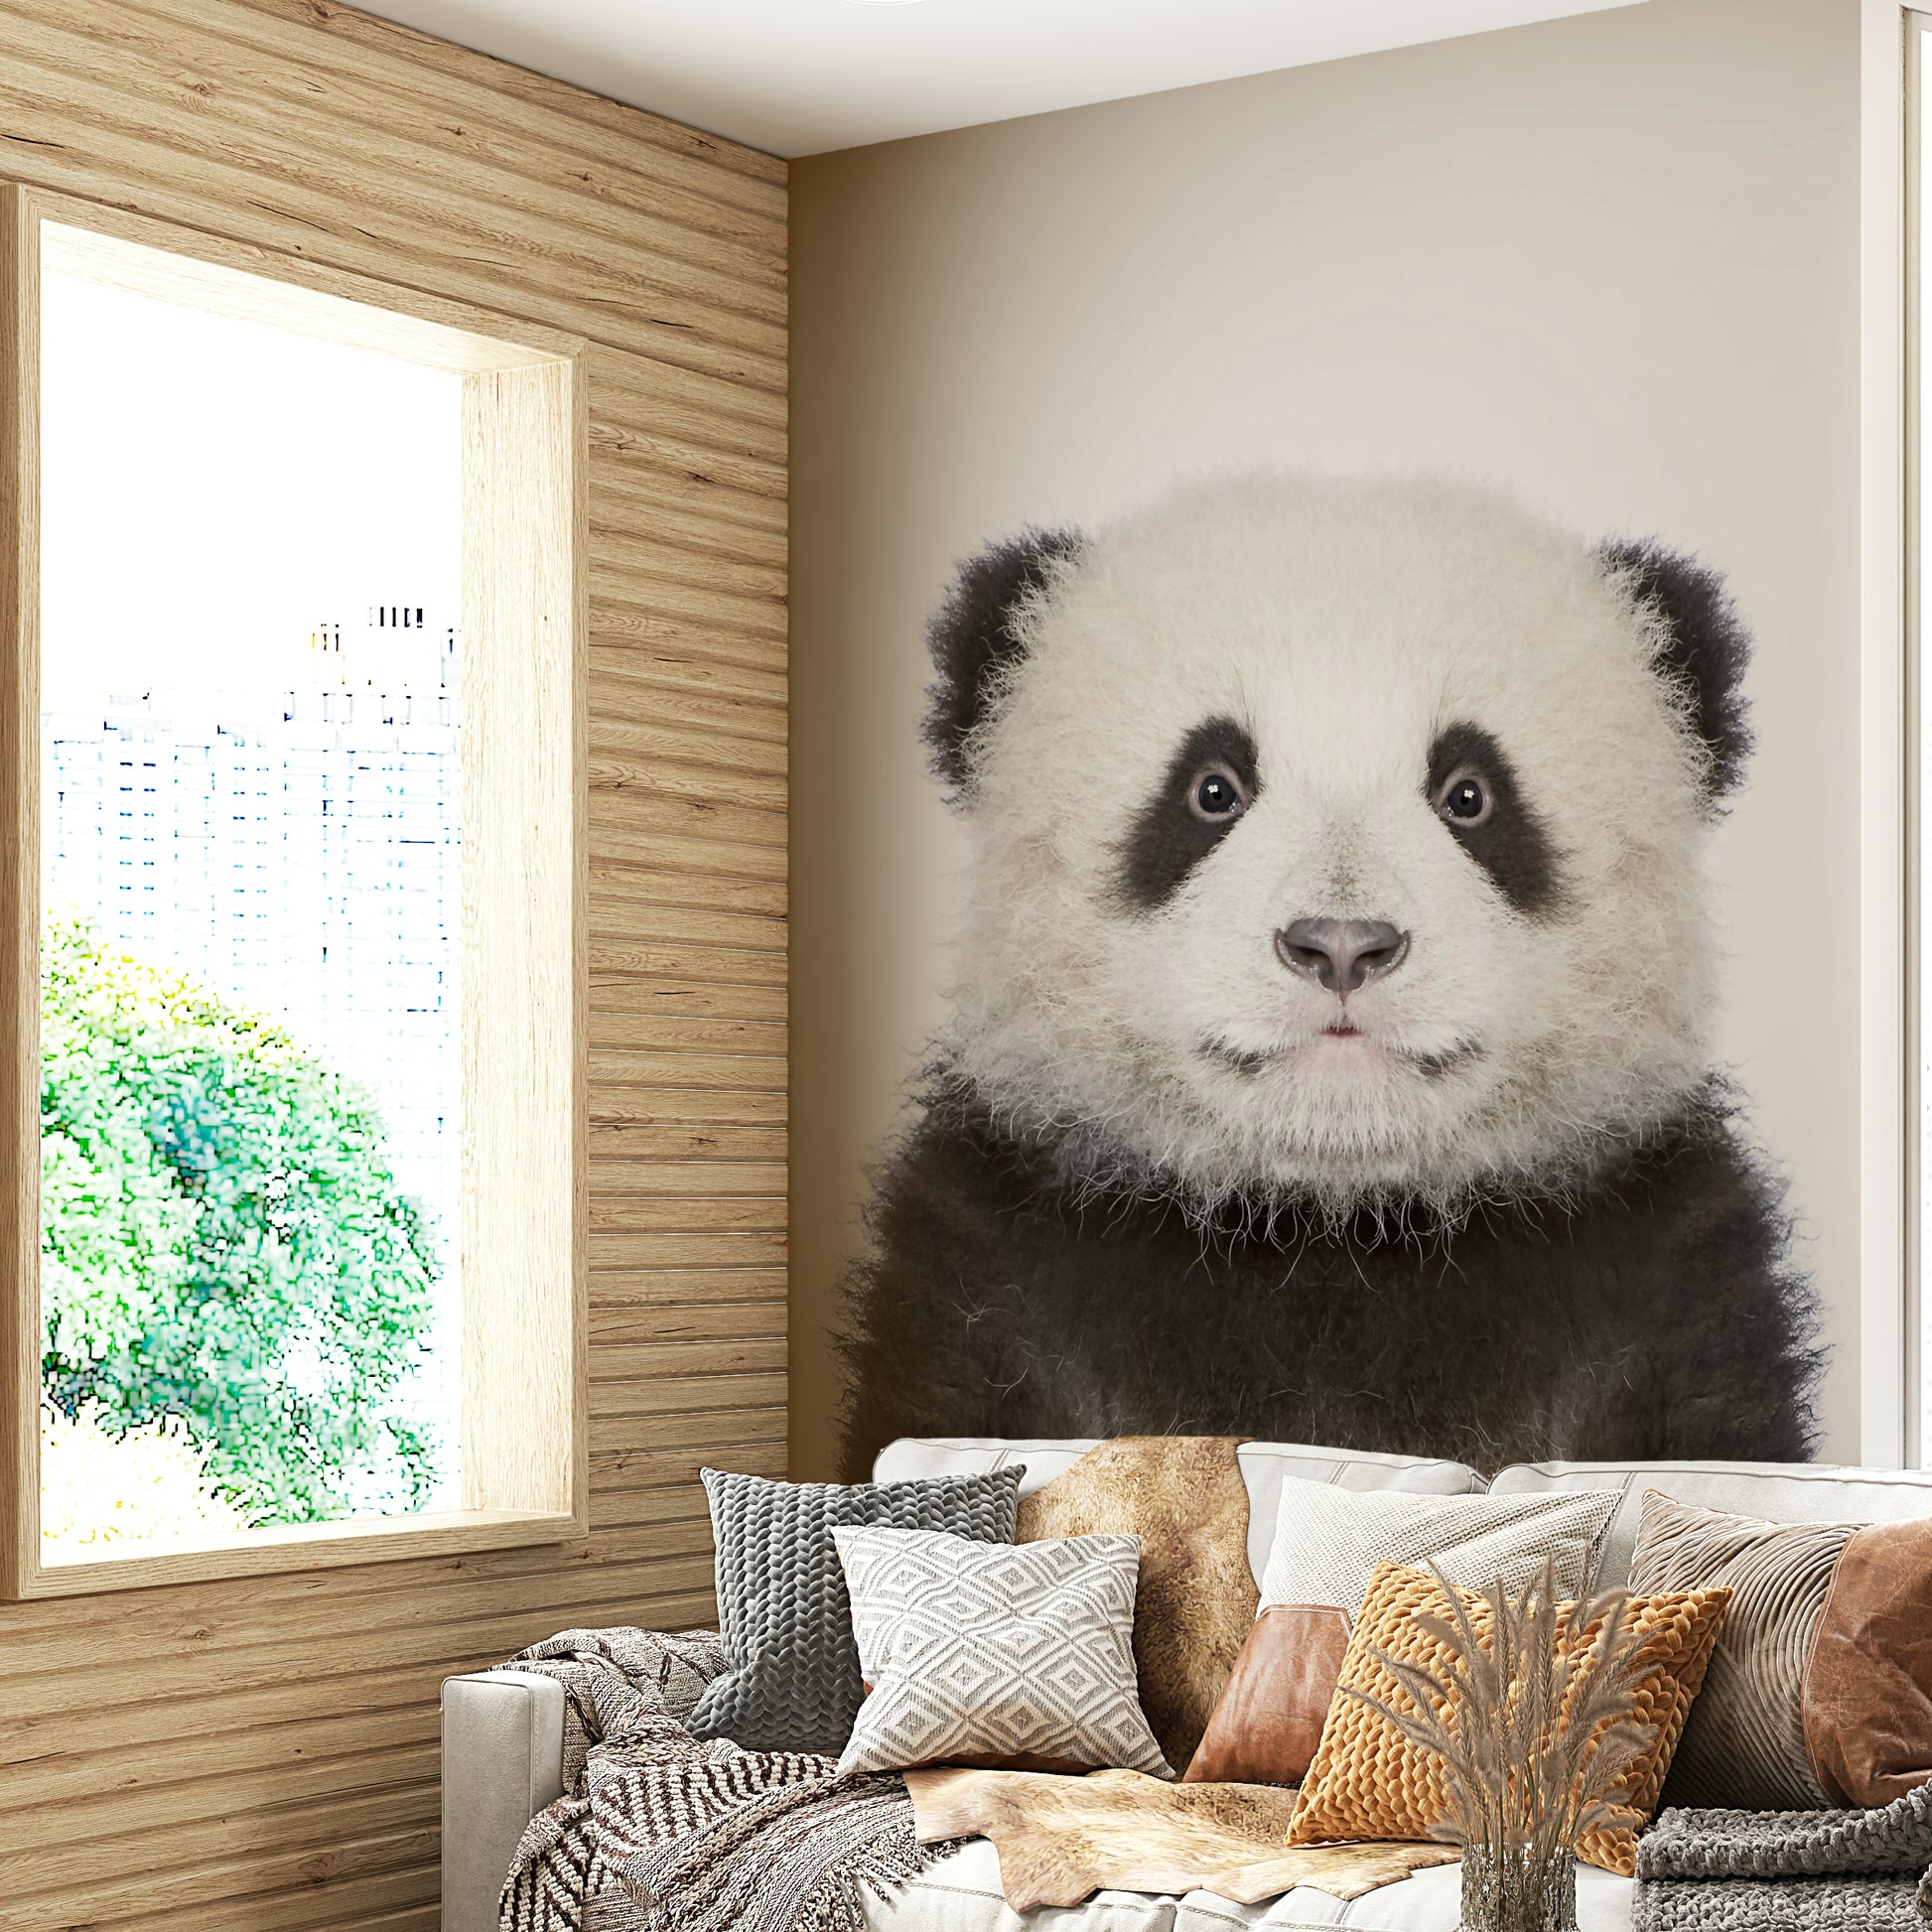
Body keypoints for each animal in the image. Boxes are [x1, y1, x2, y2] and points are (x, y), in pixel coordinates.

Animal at [832, 473, 1825, 1481]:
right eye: (1211, 789)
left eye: (1471, 795)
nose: (1343, 945)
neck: (1331, 1231)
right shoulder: (998, 1272)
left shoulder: (1662, 1279)